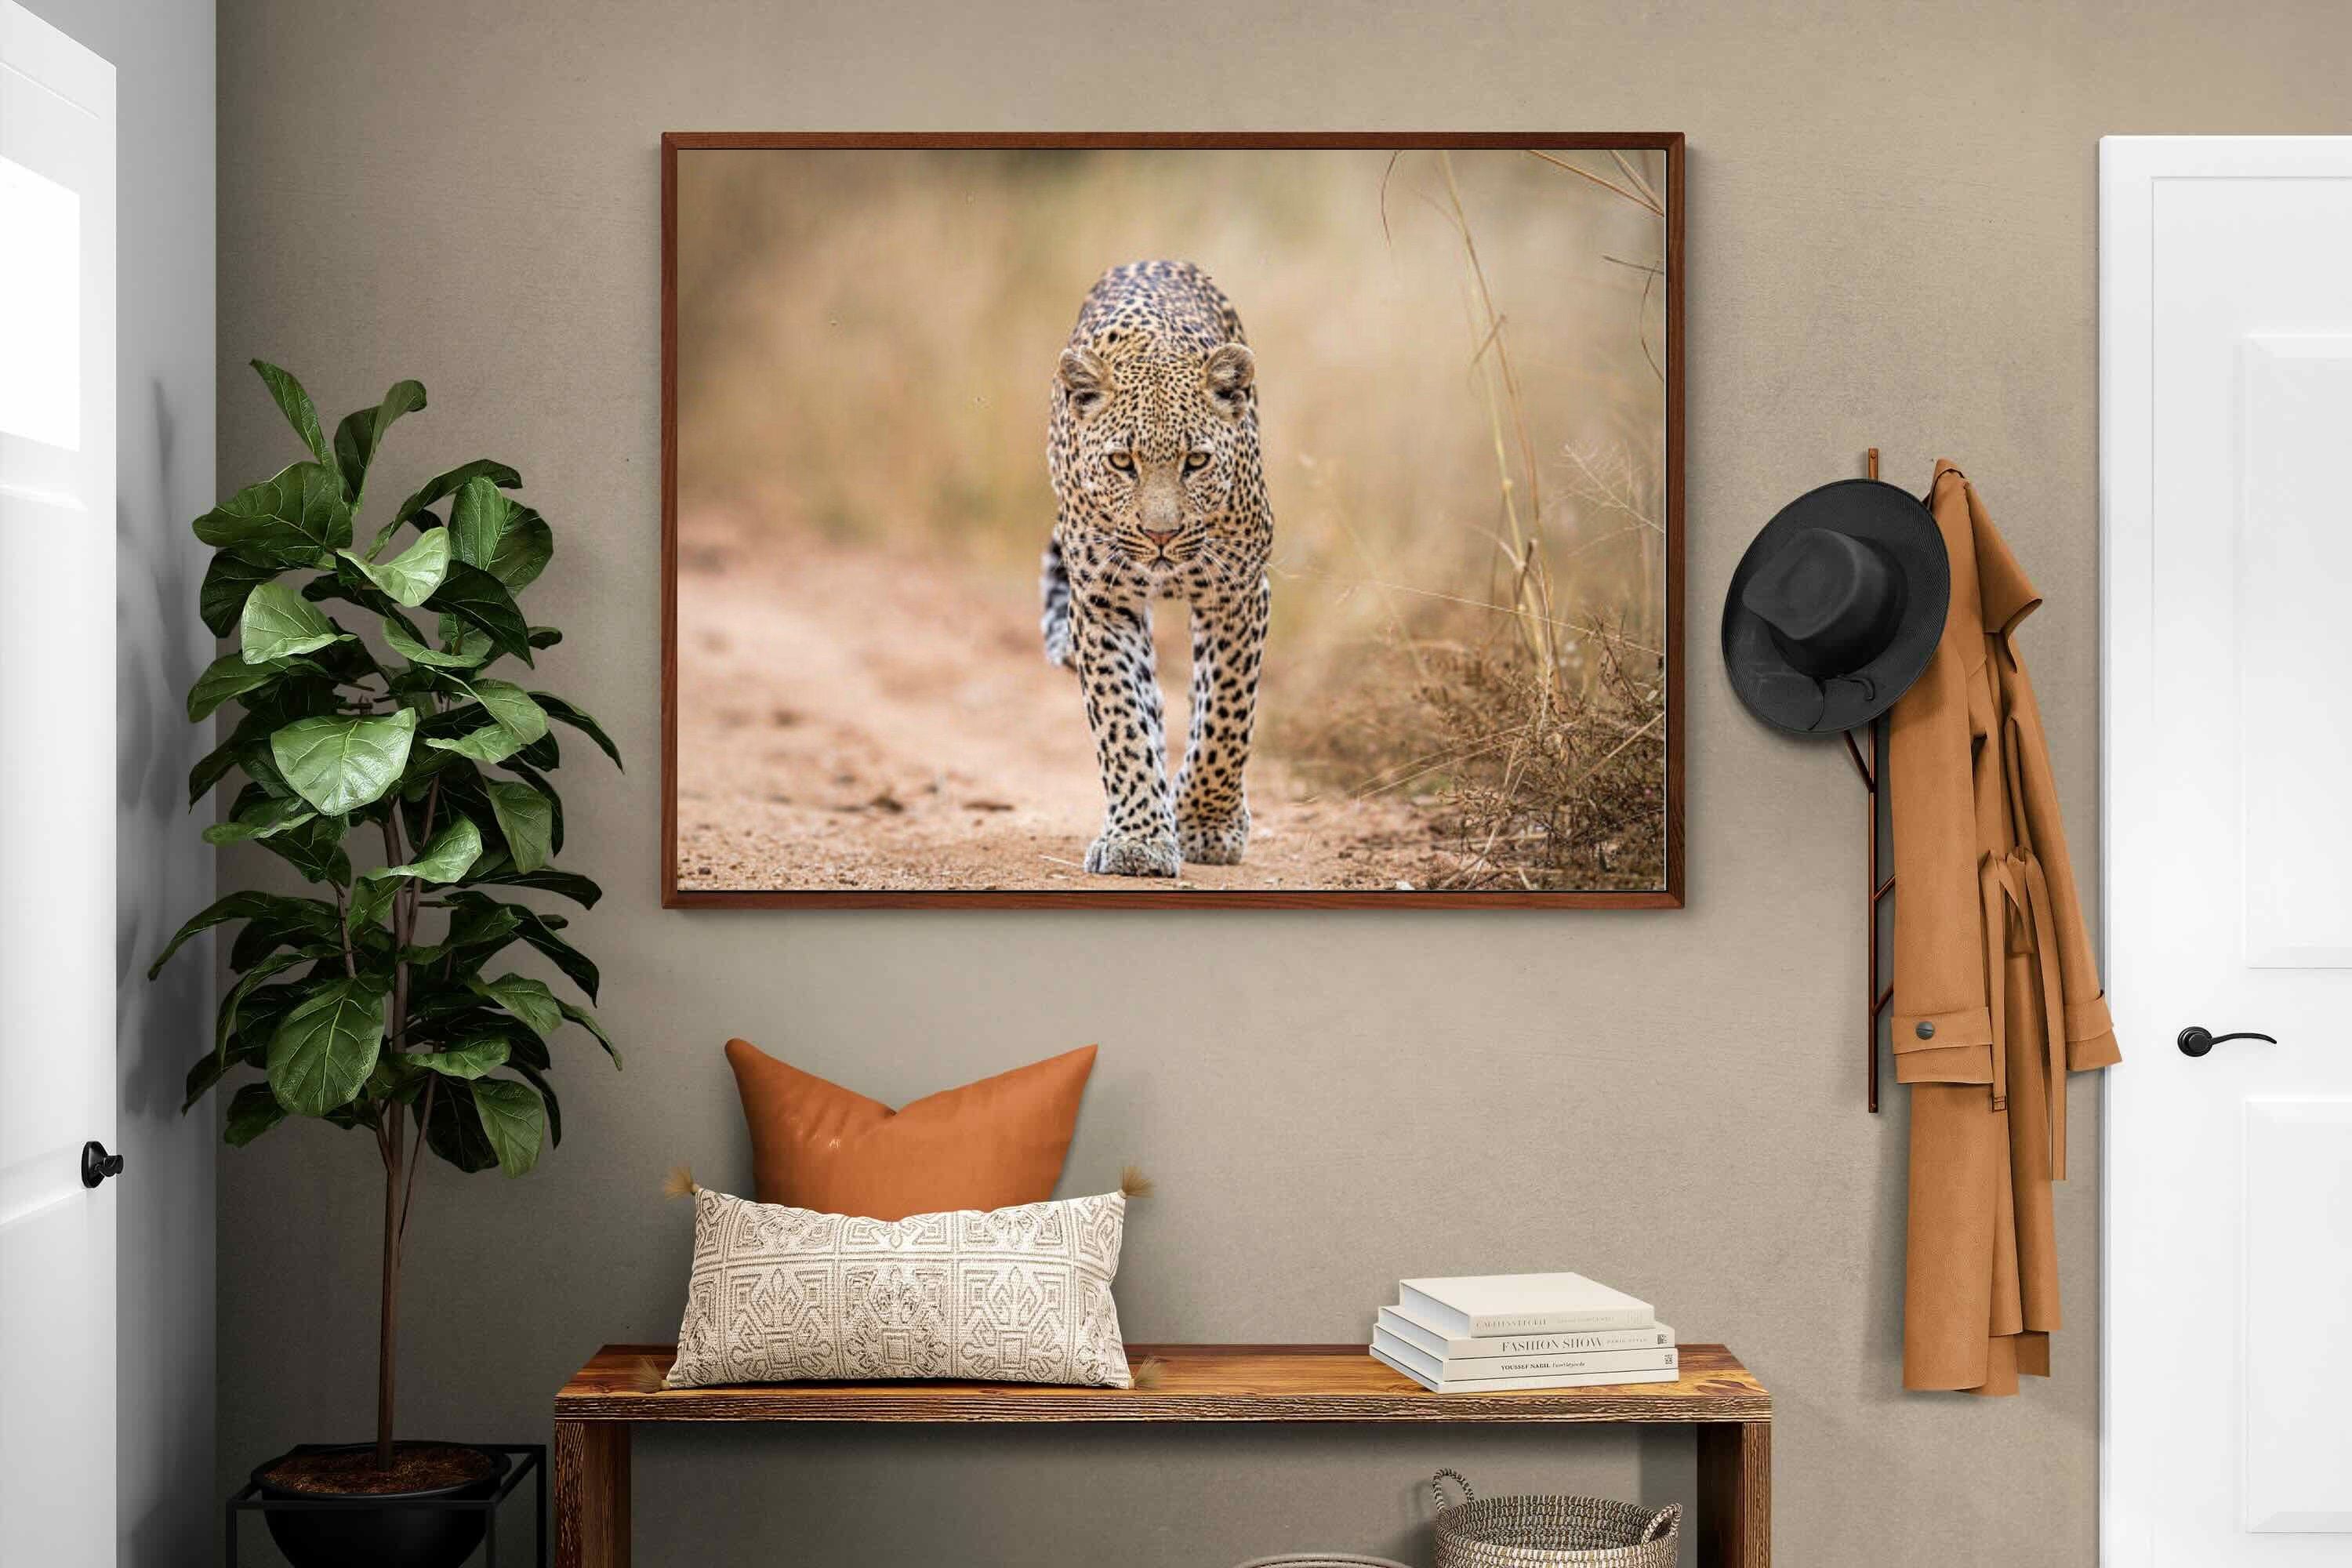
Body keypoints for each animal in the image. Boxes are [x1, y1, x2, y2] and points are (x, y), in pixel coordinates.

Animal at [1041, 259, 1273, 879]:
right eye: (1123, 462)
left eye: (1197, 461)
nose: (1161, 535)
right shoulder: (1102, 603)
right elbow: (1122, 720)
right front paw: (1139, 840)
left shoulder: (1238, 593)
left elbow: (1226, 716)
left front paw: (1208, 825)